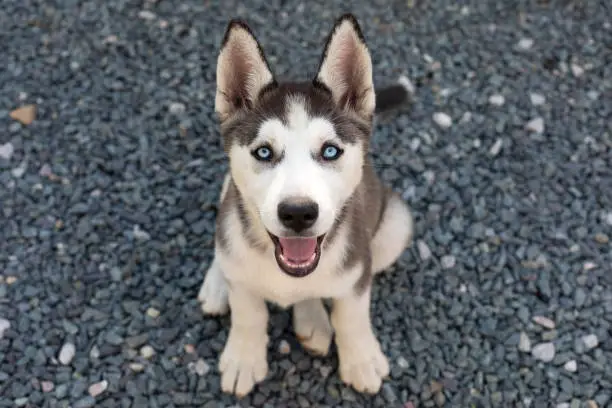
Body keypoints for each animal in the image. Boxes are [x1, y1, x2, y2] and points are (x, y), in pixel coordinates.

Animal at [198, 12, 414, 398]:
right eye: (263, 152)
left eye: (330, 151)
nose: (298, 213)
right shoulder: (243, 271)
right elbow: (248, 313)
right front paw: (243, 358)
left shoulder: (358, 267)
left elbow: (351, 314)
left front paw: (361, 359)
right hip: (228, 191)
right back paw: (217, 283)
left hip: (396, 226)